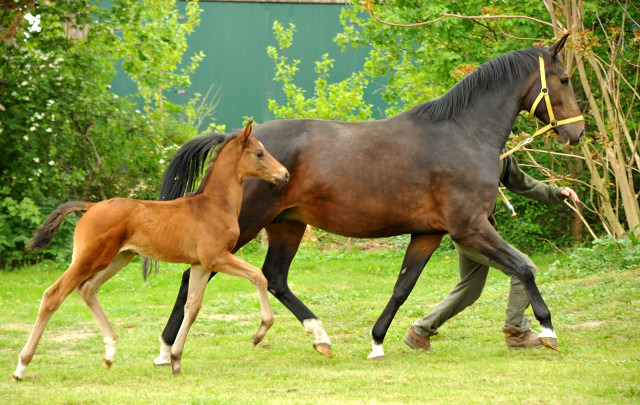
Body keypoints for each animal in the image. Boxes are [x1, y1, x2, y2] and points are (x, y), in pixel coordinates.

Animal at [12, 120, 288, 378]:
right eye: (259, 153)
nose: (284, 175)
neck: (214, 205)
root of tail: (91, 207)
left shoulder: (200, 264)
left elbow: (192, 307)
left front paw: (175, 360)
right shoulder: (216, 258)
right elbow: (258, 275)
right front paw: (259, 333)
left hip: (119, 258)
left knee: (88, 289)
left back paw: (110, 353)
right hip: (89, 259)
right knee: (53, 295)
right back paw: (21, 366)